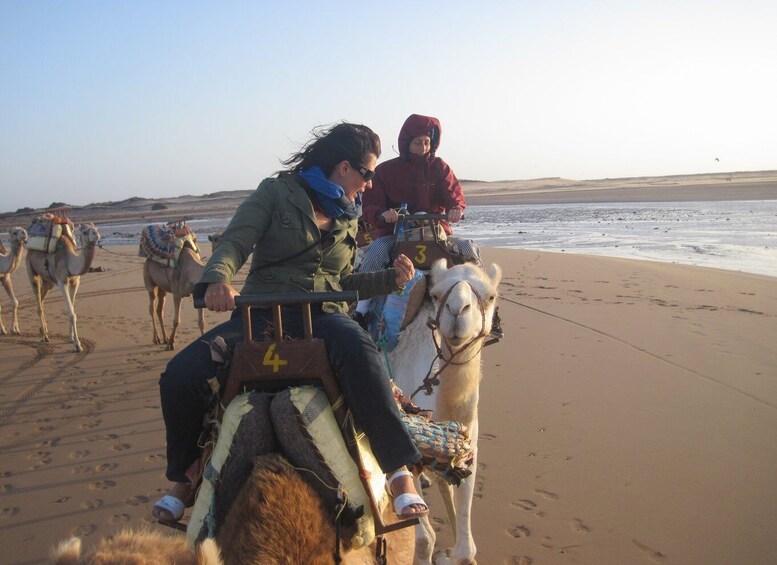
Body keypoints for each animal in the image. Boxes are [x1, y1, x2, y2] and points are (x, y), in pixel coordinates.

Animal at [388, 258, 504, 564]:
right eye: (437, 295)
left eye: (491, 296)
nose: (457, 310)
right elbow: (424, 539)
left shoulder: (470, 453)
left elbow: (465, 550)